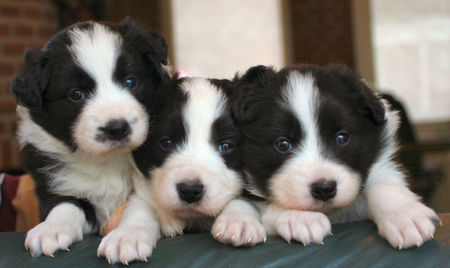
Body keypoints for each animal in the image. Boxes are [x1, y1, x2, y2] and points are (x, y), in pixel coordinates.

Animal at [12, 19, 171, 256]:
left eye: (130, 82)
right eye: (76, 94)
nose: (117, 128)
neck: (107, 160)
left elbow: (139, 207)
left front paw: (127, 237)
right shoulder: (54, 184)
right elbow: (64, 205)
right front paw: (51, 229)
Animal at [97, 76, 268, 264]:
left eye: (225, 146)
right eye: (167, 143)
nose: (190, 191)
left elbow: (242, 198)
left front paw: (238, 220)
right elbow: (140, 206)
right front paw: (128, 234)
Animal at [234, 65, 442, 249]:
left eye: (342, 137)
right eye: (283, 144)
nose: (324, 188)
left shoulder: (381, 163)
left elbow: (383, 183)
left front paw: (405, 215)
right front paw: (300, 217)